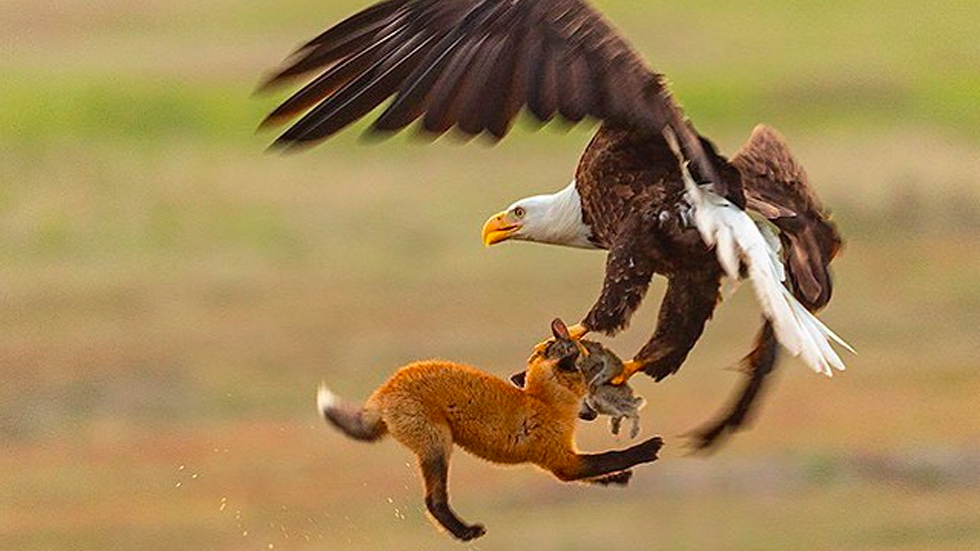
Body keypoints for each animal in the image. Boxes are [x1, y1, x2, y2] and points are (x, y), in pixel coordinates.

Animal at [317, 319, 664, 541]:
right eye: (588, 376)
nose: (591, 411)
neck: (542, 401)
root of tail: (385, 388)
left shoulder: (566, 459)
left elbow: (597, 472)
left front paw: (618, 479)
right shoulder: (560, 461)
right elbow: (610, 457)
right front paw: (647, 449)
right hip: (437, 446)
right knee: (433, 501)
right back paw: (465, 533)